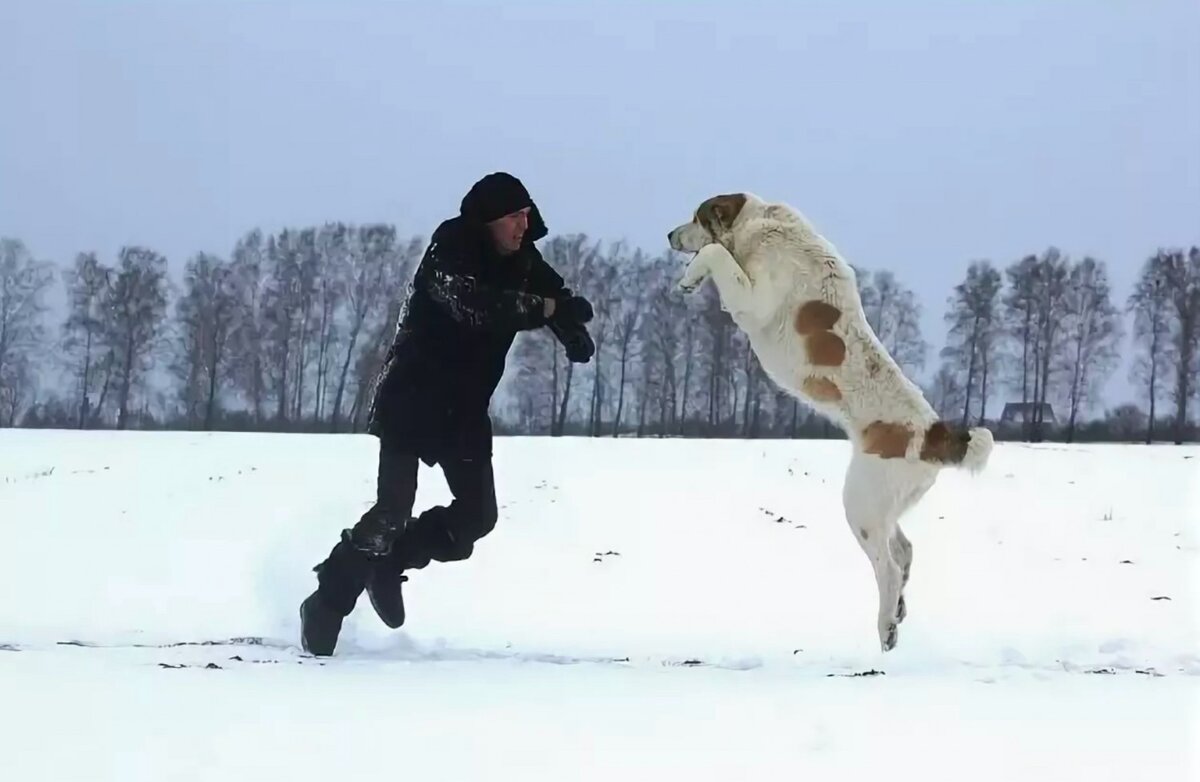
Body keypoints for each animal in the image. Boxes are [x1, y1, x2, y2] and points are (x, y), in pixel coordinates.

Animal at [667, 191, 993, 652]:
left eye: (696, 218)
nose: (669, 235)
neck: (760, 224)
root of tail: (936, 432)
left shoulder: (755, 298)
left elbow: (715, 254)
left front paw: (688, 278)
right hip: (882, 506)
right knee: (905, 551)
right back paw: (898, 612)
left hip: (861, 505)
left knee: (888, 567)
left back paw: (886, 627)